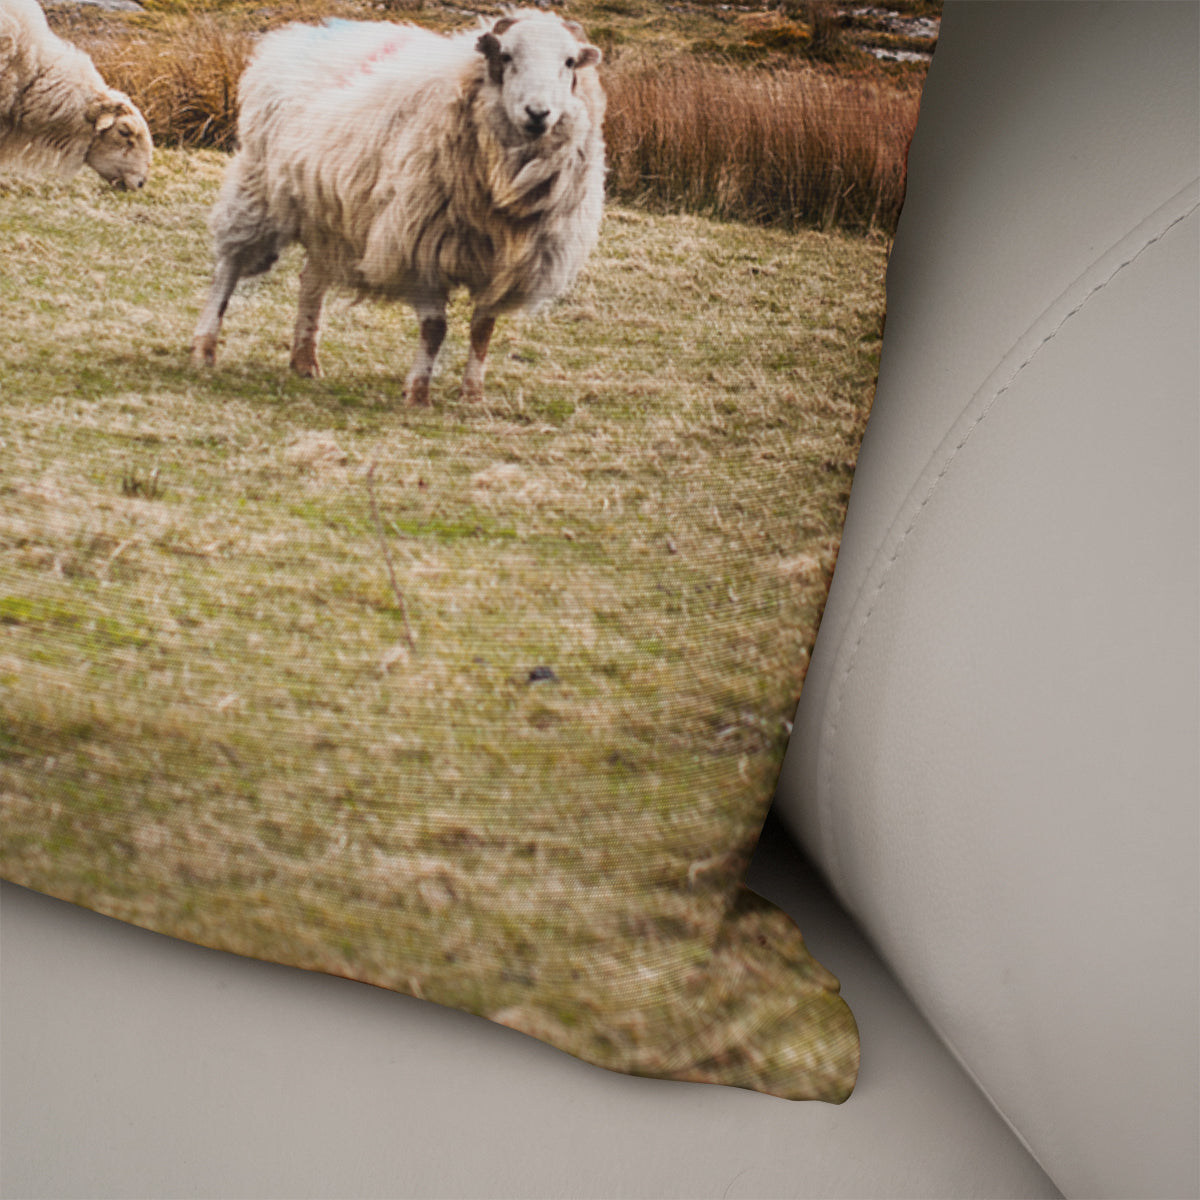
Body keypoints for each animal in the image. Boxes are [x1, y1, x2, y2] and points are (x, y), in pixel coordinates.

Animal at [192, 9, 605, 405]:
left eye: (569, 62)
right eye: (507, 55)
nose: (538, 113)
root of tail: (295, 34)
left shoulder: (508, 265)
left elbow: (483, 330)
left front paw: (472, 396)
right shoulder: (417, 246)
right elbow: (435, 328)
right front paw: (418, 394)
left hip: (330, 216)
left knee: (310, 280)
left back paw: (304, 360)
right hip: (258, 191)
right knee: (229, 268)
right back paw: (205, 347)